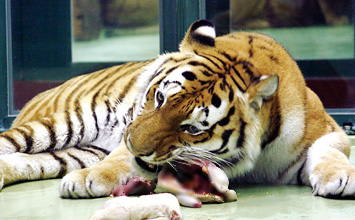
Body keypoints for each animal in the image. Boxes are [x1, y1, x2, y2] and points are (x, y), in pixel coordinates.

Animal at [0, 20, 355, 199]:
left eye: (192, 128)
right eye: (158, 97)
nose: (132, 142)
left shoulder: (329, 130)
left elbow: (329, 151)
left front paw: (342, 177)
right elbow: (120, 160)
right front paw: (89, 179)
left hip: (72, 152)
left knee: (22, 162)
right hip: (61, 124)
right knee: (10, 144)